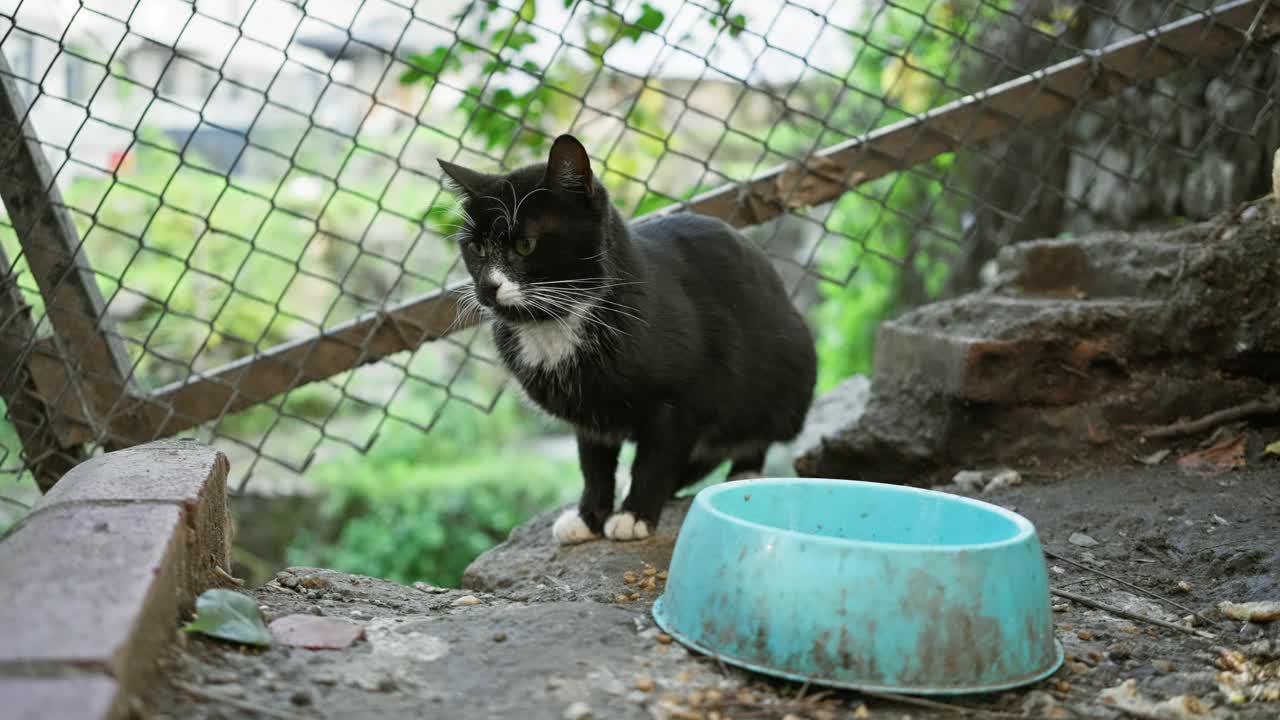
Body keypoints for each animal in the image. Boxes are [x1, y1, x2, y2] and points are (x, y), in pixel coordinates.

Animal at [440, 134, 814, 540]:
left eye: (526, 244)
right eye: (476, 248)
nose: (487, 286)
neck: (554, 324)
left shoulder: (685, 398)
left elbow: (655, 459)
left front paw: (635, 515)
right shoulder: (589, 415)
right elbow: (594, 465)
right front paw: (589, 517)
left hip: (784, 371)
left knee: (753, 434)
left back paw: (743, 475)